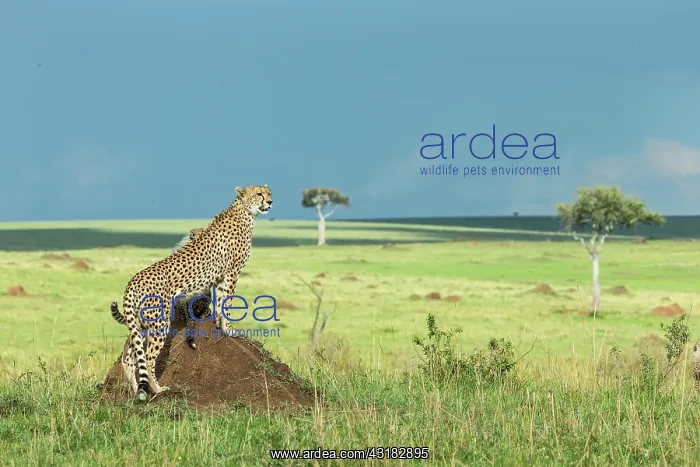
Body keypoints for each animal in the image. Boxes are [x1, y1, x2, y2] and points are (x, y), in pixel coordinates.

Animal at [111, 184, 272, 402]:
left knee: (130, 357)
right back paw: (158, 389)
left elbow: (220, 301)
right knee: (149, 357)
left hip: (139, 324)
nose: (270, 202)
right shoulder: (232, 272)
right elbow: (227, 302)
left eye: (269, 192)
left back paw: (136, 390)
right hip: (159, 323)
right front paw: (229, 329)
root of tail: (133, 281)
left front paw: (219, 325)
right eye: (259, 194)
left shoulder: (220, 277)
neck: (244, 212)